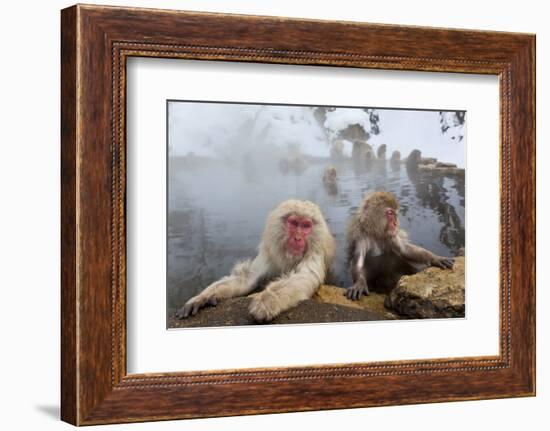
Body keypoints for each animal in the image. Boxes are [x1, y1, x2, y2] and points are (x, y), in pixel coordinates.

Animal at [177, 201, 336, 322]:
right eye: (294, 223)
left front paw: (267, 301)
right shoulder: (269, 254)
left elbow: (305, 275)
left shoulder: (315, 251)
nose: (297, 238)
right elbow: (249, 277)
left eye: (305, 226)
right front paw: (202, 297)